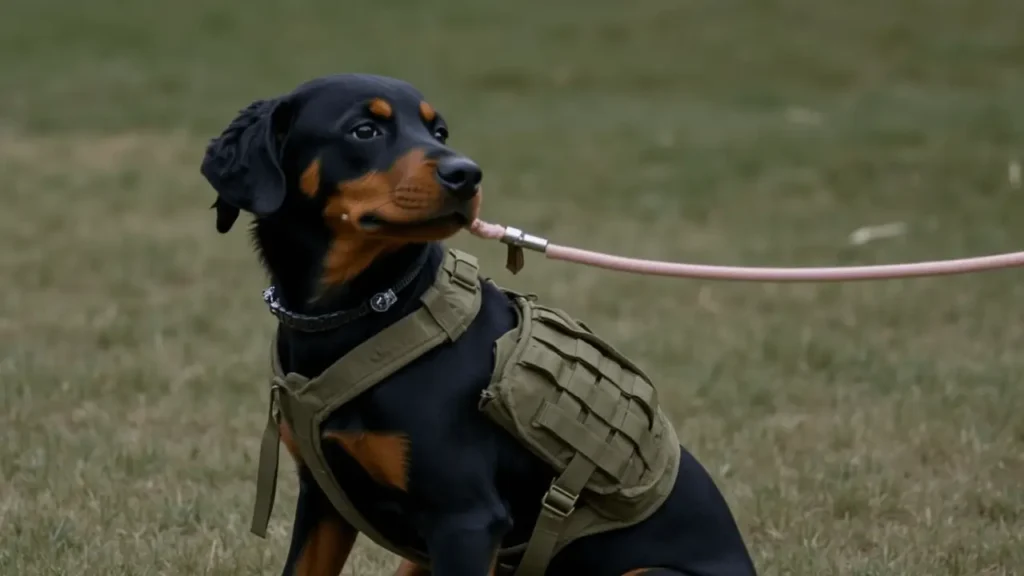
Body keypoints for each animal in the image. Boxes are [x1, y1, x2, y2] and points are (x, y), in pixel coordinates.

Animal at [201, 73, 761, 569]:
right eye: (365, 130)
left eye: (439, 131)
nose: (468, 174)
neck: (366, 311)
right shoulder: (322, 501)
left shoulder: (466, 518)